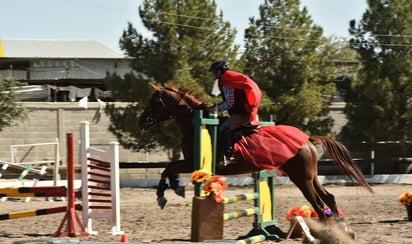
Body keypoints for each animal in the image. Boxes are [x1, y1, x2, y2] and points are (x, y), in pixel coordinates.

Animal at [138, 83, 374, 225]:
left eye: (153, 101)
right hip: (310, 176)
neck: (195, 124)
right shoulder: (190, 163)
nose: (141, 122)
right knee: (328, 198)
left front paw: (163, 195)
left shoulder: (192, 163)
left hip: (301, 178)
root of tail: (307, 139)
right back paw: (341, 228)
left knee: (318, 204)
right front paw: (176, 188)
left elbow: (167, 169)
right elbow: (169, 169)